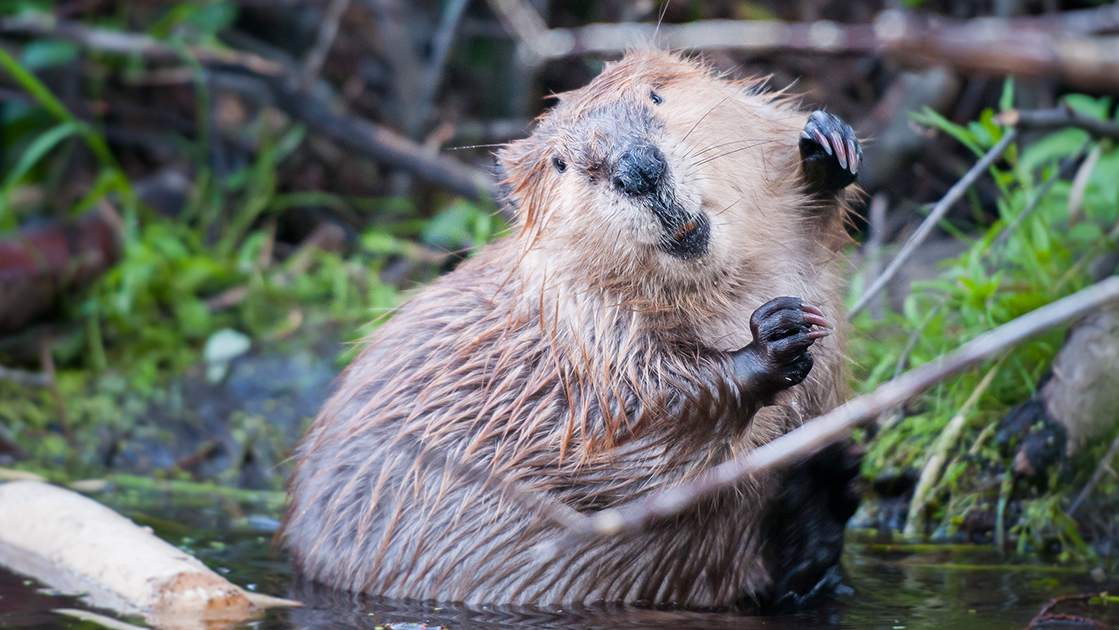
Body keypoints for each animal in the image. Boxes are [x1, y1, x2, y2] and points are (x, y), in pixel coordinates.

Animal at [284, 51, 859, 613]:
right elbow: (634, 443)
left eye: (656, 95)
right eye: (560, 163)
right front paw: (775, 337)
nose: (638, 169)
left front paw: (826, 146)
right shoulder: (581, 338)